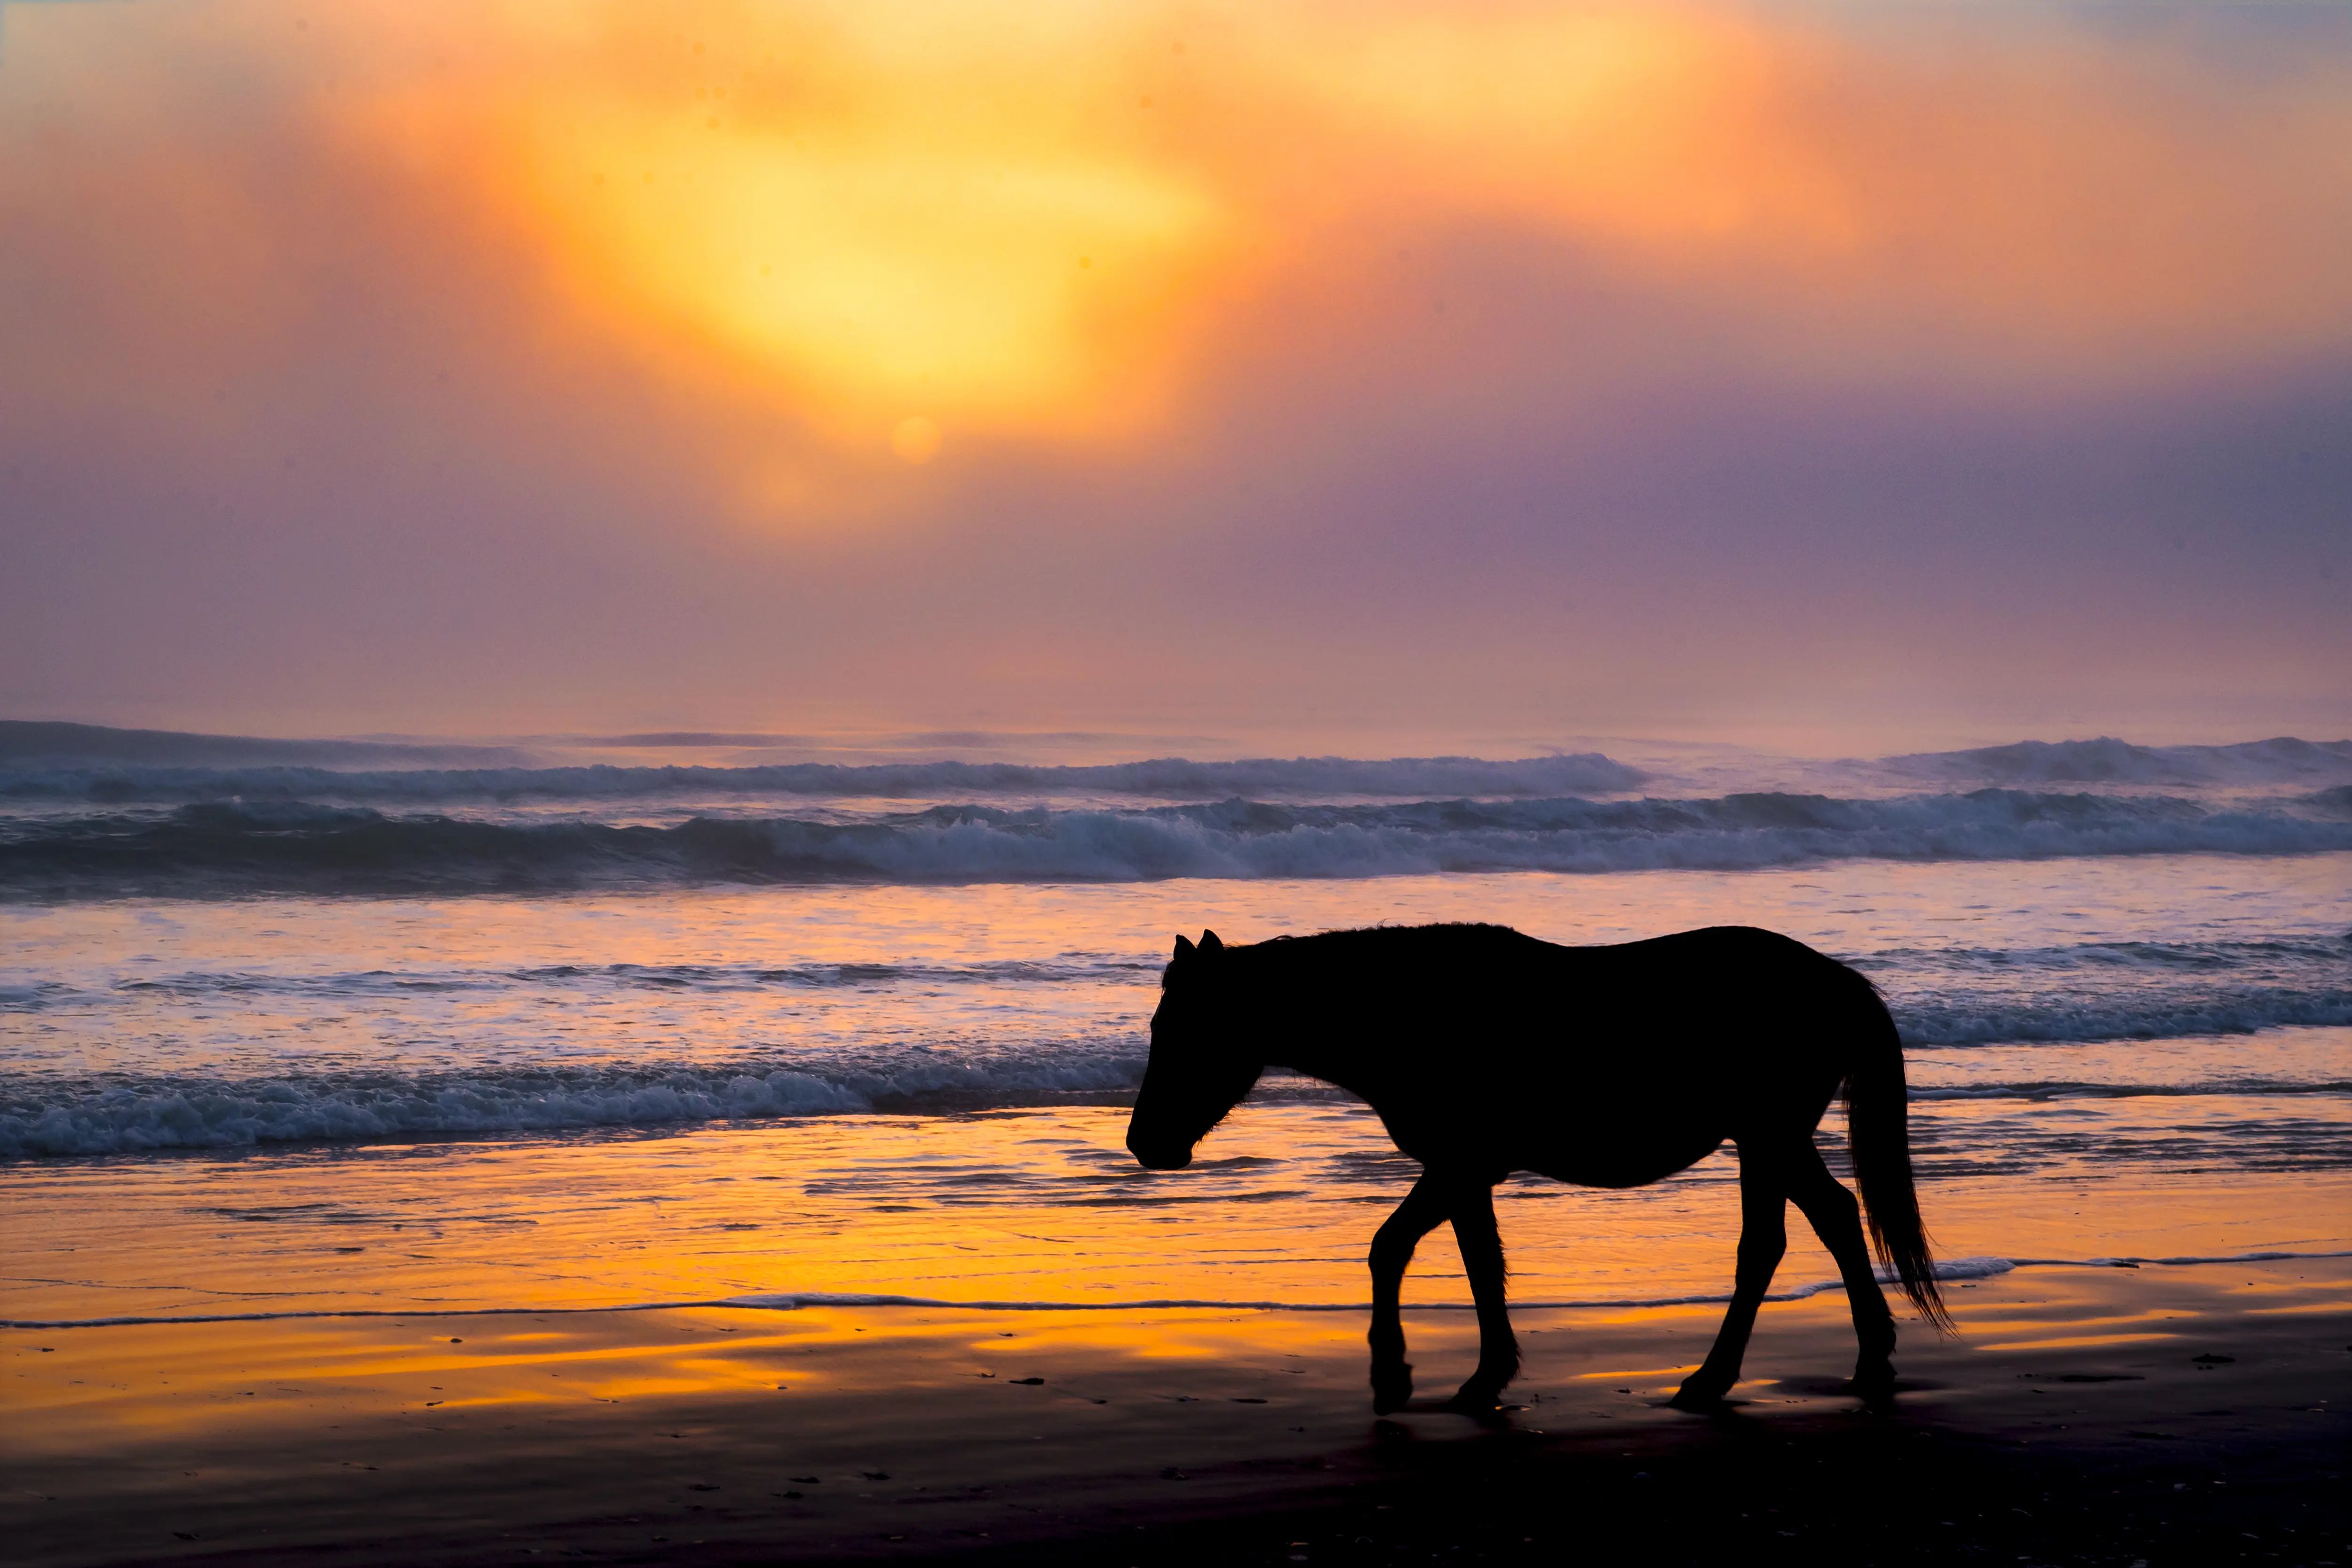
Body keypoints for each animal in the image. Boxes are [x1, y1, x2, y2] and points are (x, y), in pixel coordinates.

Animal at [1124, 923, 1949, 1413]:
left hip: (1767, 1136)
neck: (1412, 1011)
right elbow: (1459, 1258)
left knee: (1769, 1247)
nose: (1144, 1144)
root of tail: (1835, 982)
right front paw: (1470, 1374)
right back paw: (1866, 1361)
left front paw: (1414, 1375)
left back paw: (1713, 1379)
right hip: (1772, 1139)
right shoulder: (1464, 1170)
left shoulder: (1462, 1164)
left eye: (1188, 1030)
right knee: (1833, 1220)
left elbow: (1414, 1250)